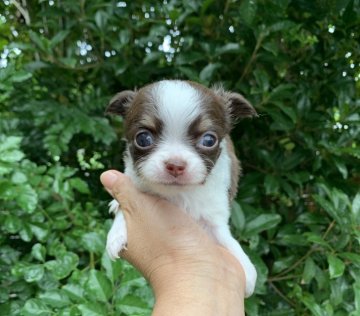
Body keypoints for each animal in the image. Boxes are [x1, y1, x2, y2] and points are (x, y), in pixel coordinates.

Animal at [105, 79, 258, 296]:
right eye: (143, 138)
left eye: (209, 140)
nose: (175, 164)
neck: (177, 195)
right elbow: (123, 210)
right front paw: (116, 234)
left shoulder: (212, 219)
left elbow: (227, 239)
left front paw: (247, 269)